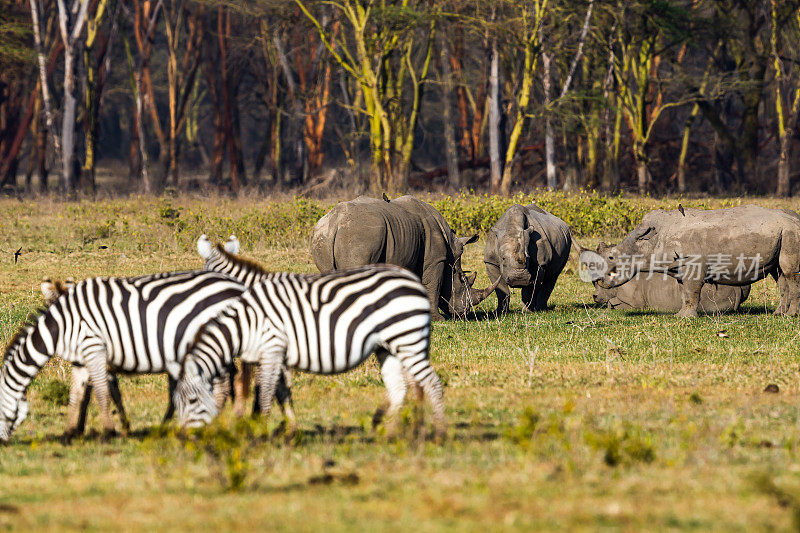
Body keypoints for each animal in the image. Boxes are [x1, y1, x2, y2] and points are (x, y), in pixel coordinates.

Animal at [0, 270, 252, 440]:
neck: (63, 325)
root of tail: (236, 285)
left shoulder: (95, 350)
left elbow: (102, 393)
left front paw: (110, 431)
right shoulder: (85, 360)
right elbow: (80, 394)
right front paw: (72, 432)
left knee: (222, 383)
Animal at [173, 264, 446, 438]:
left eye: (192, 401)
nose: (184, 438)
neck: (245, 324)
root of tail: (412, 279)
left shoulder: (272, 347)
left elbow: (265, 394)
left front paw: (260, 432)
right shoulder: (273, 355)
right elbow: (280, 392)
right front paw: (286, 430)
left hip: (407, 338)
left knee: (432, 382)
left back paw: (439, 432)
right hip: (389, 346)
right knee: (400, 388)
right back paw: (388, 433)